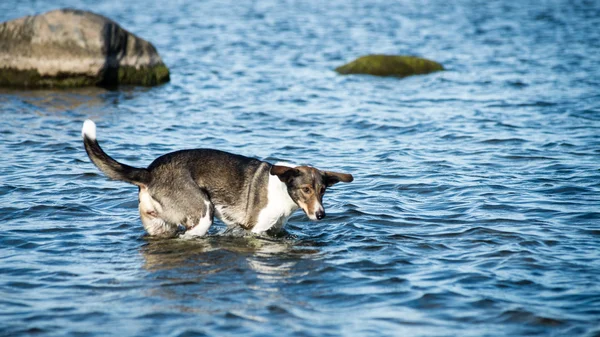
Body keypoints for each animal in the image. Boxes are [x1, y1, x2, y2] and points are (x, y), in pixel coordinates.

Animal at [79, 120, 352, 236]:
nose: (321, 214)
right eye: (306, 189)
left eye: (323, 191)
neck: (282, 190)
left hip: (159, 226)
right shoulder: (254, 231)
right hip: (202, 215)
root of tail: (150, 171)